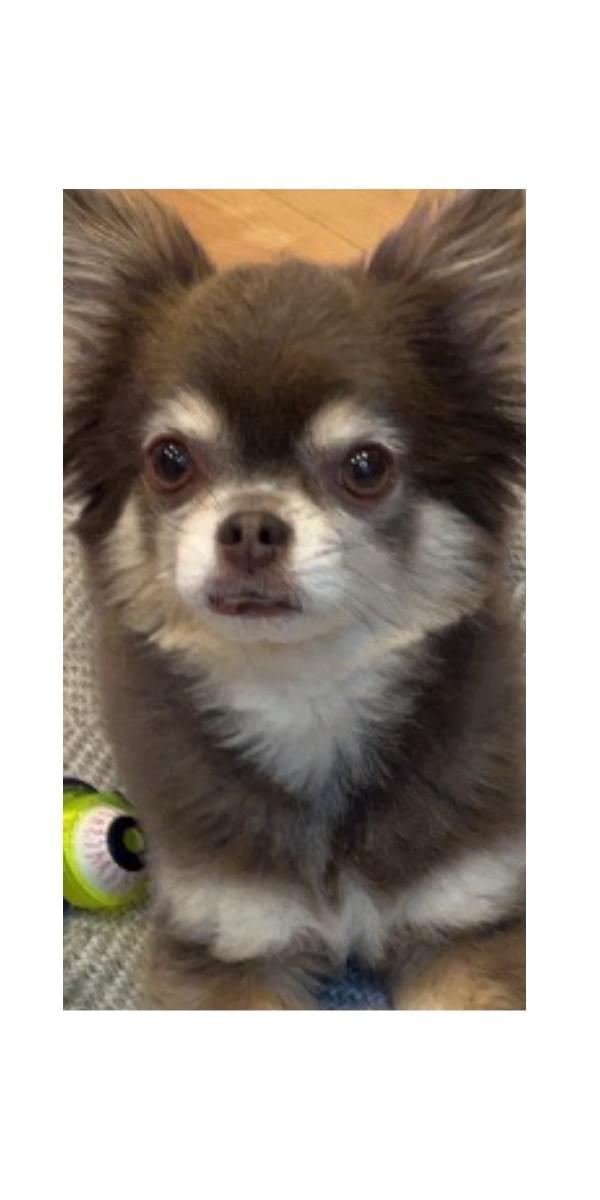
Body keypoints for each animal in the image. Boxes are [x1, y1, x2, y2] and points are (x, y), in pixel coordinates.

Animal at [64, 189, 525, 1009]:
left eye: (366, 467)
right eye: (169, 460)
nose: (251, 527)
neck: (307, 694)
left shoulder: (471, 920)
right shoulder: (225, 943)